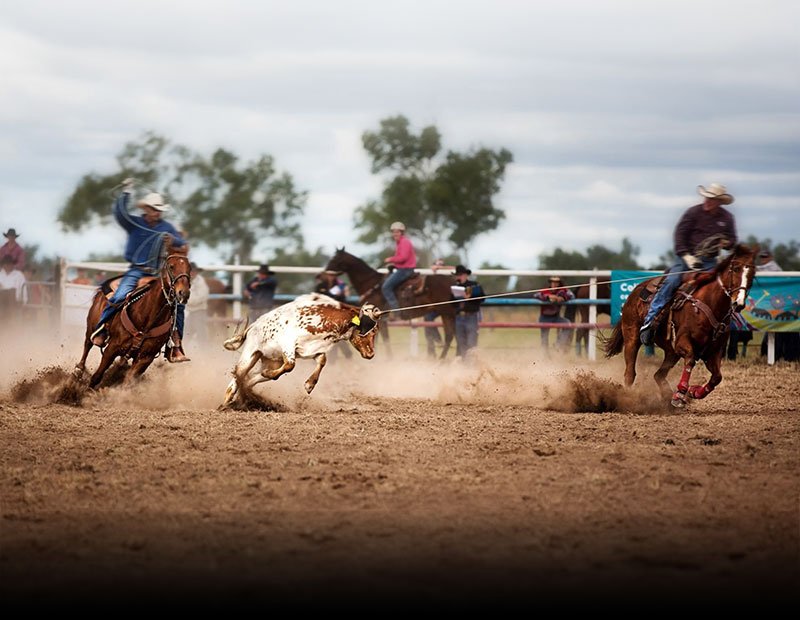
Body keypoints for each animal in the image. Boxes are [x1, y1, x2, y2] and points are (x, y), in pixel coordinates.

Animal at [221, 293, 381, 407]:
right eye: (370, 328)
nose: (371, 354)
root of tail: (253, 326)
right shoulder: (288, 345)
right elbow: (290, 365)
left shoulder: (312, 348)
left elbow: (322, 360)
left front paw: (310, 385)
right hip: (251, 354)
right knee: (239, 374)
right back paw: (229, 401)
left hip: (270, 360)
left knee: (249, 378)